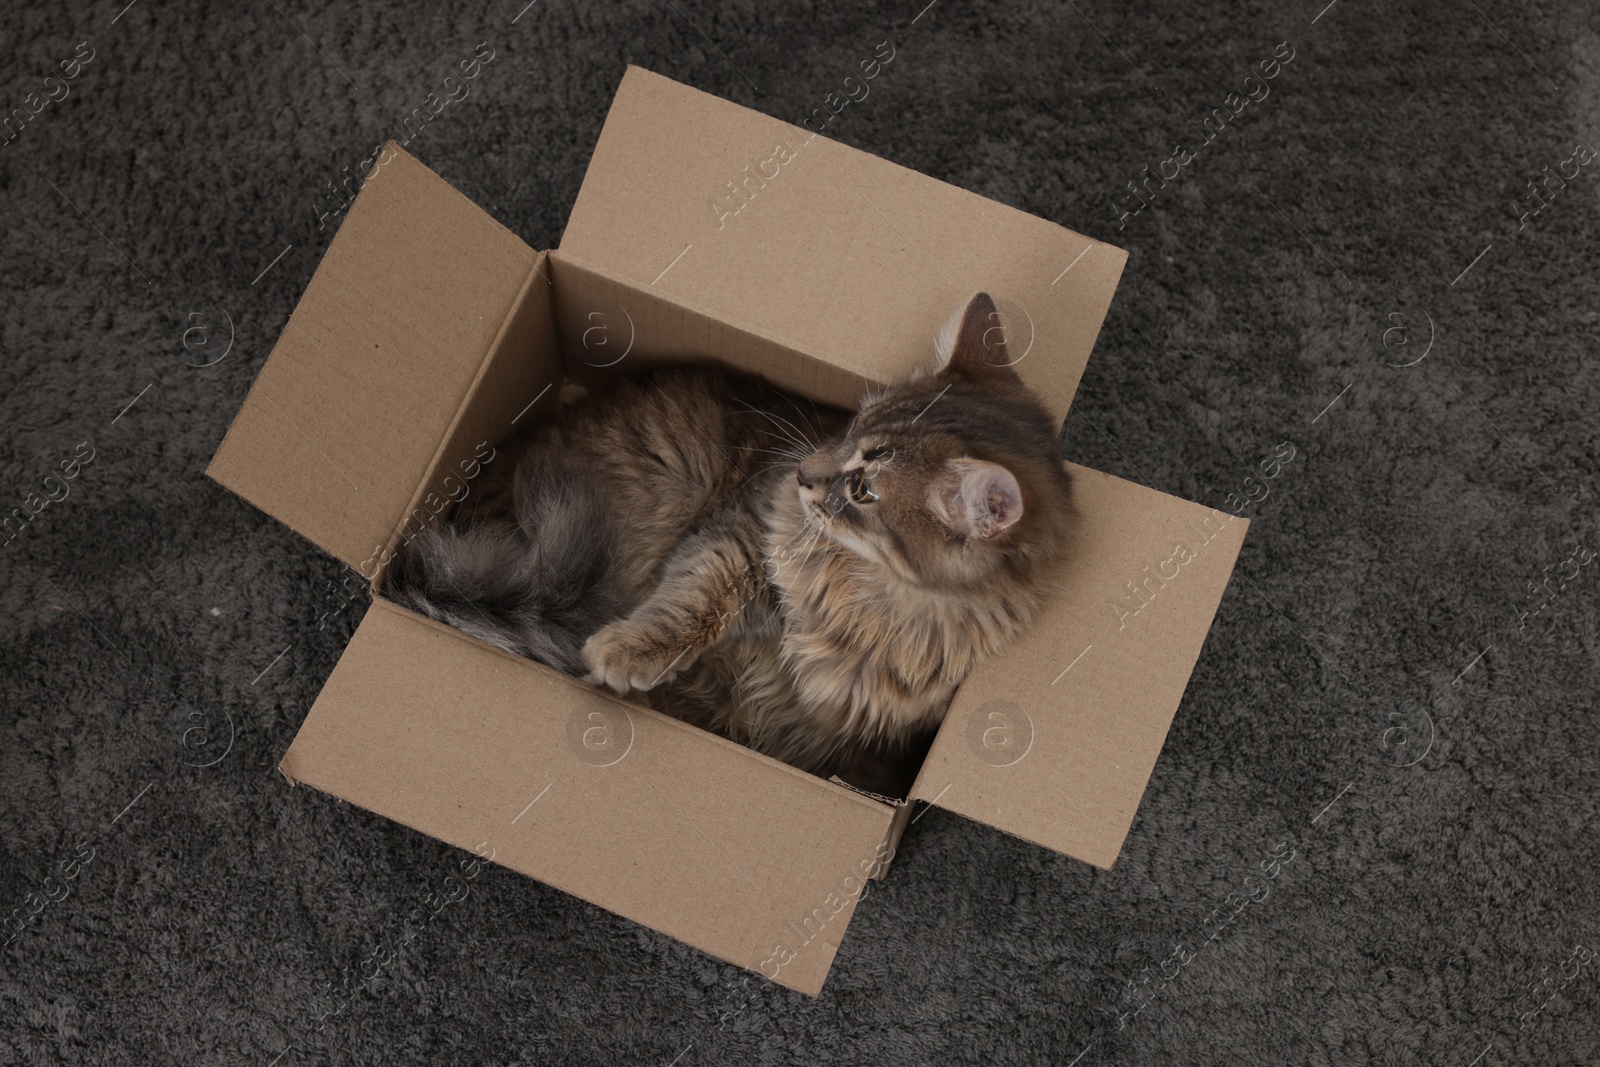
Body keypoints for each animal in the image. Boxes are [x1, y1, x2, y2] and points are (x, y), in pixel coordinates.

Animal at [379, 292, 1068, 783]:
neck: (866, 600)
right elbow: (693, 605)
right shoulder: (737, 538)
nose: (802, 474)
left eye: (864, 491)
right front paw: (623, 654)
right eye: (851, 424)